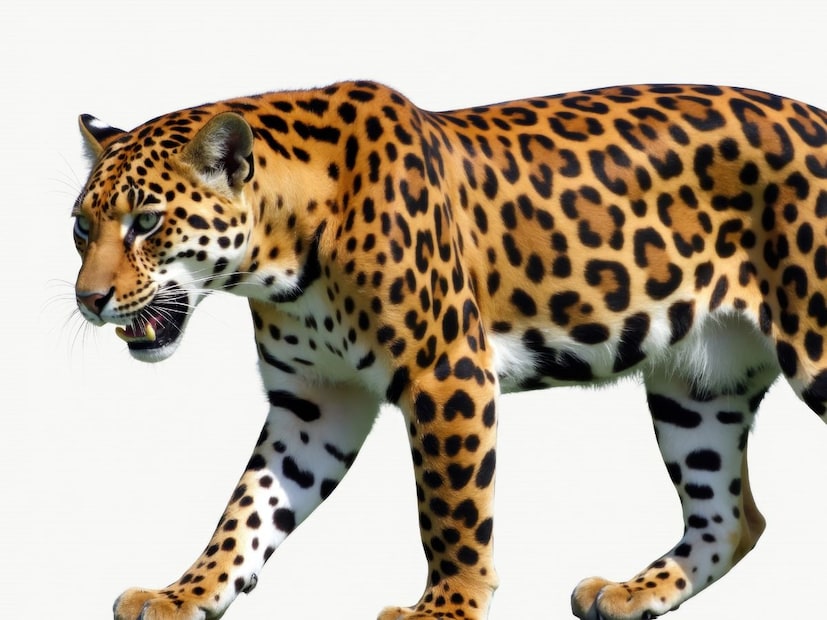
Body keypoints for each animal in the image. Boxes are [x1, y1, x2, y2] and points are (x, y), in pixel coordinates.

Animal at [71, 80, 827, 619]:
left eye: (147, 222)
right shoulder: (315, 401)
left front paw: (446, 607)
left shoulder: (446, 373)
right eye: (81, 228)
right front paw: (185, 593)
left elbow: (450, 507)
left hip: (814, 350)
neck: (282, 260)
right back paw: (633, 591)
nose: (88, 300)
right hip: (698, 391)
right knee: (731, 518)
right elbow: (247, 510)